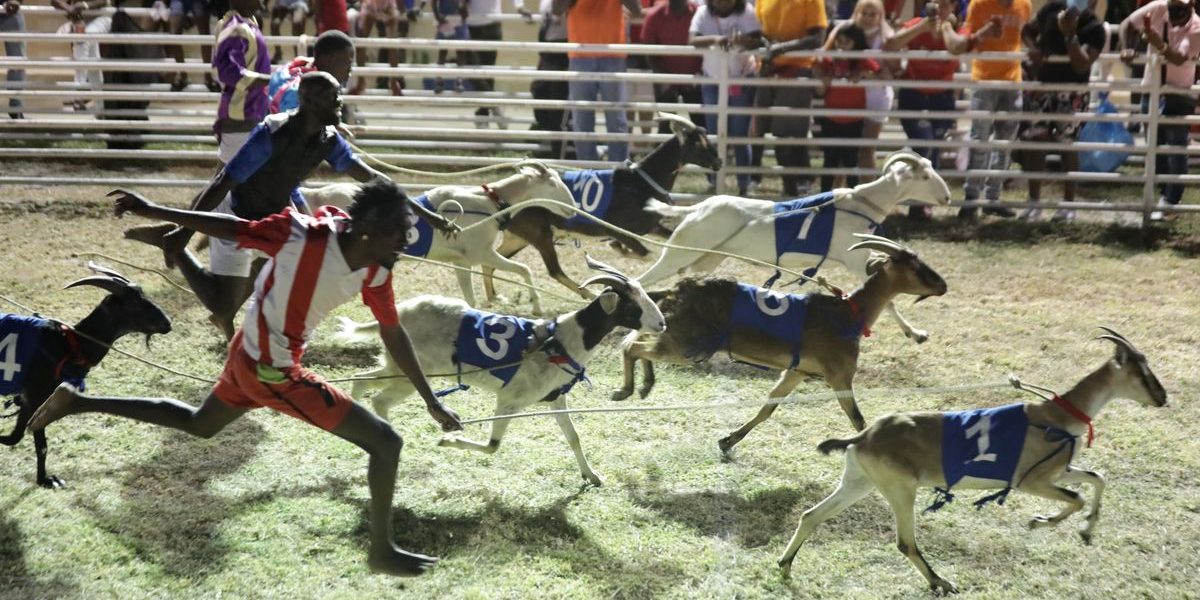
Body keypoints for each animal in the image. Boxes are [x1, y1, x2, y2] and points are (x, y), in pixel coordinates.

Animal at [302, 162, 578, 316]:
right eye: (553, 184)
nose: (574, 209)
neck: (490, 203)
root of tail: (314, 194)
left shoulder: (462, 261)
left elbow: (470, 297)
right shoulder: (482, 252)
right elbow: (524, 269)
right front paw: (537, 306)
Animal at [336, 258, 667, 487]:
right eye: (632, 304)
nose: (662, 323)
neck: (562, 339)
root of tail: (398, 313)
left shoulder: (556, 399)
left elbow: (574, 438)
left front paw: (593, 476)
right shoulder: (509, 400)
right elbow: (493, 446)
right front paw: (447, 441)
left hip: (396, 368)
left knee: (362, 382)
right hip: (408, 375)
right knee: (379, 398)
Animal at [477, 114, 720, 304]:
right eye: (698, 143)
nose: (718, 162)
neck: (639, 183)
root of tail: (500, 196)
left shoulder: (649, 227)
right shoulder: (616, 230)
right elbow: (645, 255)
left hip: (518, 237)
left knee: (489, 262)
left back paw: (493, 298)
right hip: (539, 234)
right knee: (554, 271)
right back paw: (589, 294)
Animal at [619, 232, 945, 451]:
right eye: (917, 267)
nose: (943, 285)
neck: (849, 312)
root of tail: (677, 289)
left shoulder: (796, 372)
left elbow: (769, 407)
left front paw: (728, 441)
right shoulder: (839, 376)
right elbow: (857, 419)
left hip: (676, 335)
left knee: (637, 343)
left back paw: (645, 384)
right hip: (685, 344)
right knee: (633, 347)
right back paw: (627, 389)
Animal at [782, 328, 1166, 595]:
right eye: (1142, 372)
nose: (1162, 397)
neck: (1056, 417)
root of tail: (863, 437)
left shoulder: (1059, 472)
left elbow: (1096, 478)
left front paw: (1086, 530)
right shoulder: (1031, 481)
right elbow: (1078, 497)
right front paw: (1040, 522)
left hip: (859, 483)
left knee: (811, 515)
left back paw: (785, 565)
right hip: (901, 490)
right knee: (905, 542)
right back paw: (941, 582)